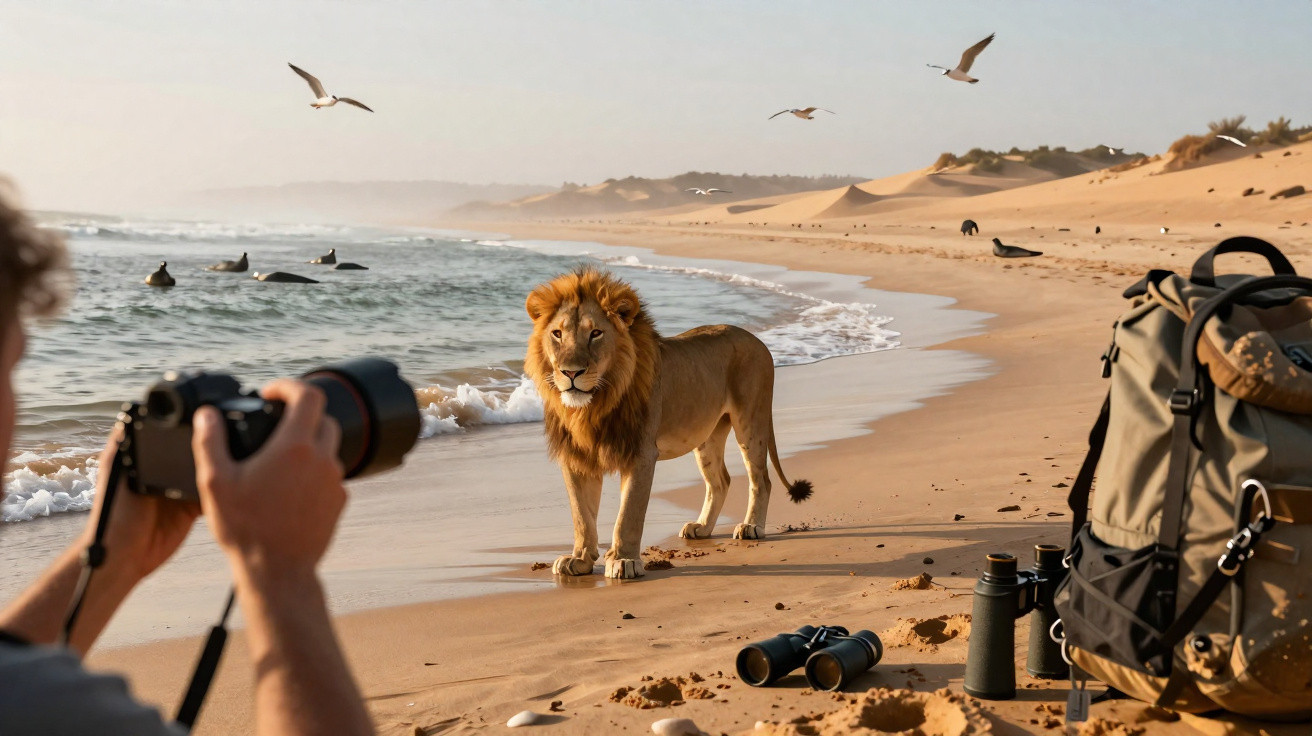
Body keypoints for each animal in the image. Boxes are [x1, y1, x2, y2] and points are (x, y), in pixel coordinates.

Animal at [525, 268, 813, 580]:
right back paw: (702, 528)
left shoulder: (641, 453)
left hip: (751, 421)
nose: (571, 372)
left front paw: (624, 560)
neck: (593, 406)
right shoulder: (576, 456)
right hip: (707, 435)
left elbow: (629, 513)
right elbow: (581, 514)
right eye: (557, 334)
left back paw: (751, 526)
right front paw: (579, 559)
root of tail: (759, 341)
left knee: (761, 478)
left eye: (596, 333)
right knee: (720, 480)